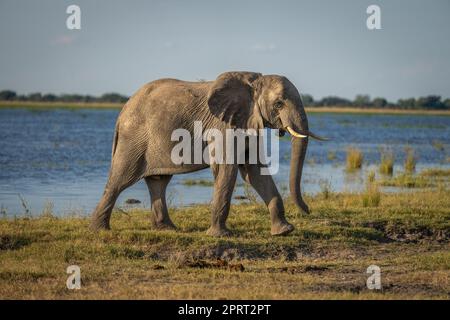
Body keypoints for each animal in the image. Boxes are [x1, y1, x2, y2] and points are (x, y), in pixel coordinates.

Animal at [89, 71, 326, 236]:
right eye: (278, 104)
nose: (308, 210)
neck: (254, 82)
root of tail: (122, 110)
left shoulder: (248, 122)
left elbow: (254, 171)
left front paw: (284, 231)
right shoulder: (224, 126)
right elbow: (228, 169)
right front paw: (220, 236)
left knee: (159, 181)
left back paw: (167, 229)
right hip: (134, 139)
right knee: (120, 179)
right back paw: (99, 230)